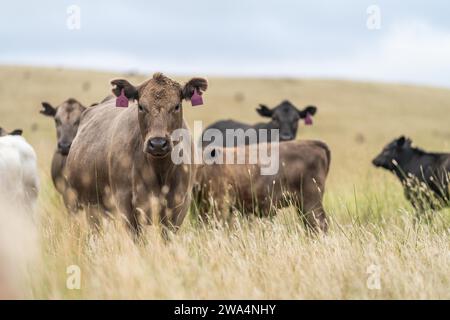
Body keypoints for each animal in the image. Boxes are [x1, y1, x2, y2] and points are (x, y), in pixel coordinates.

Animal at [64, 74, 207, 236]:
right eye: (141, 107)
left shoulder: (178, 207)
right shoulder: (126, 207)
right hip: (91, 208)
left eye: (176, 106)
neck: (160, 170)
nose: (158, 143)